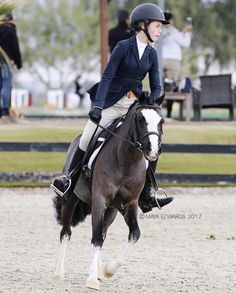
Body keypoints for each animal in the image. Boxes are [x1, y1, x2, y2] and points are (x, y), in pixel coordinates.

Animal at [52, 94, 165, 290]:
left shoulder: (129, 203)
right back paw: (59, 274)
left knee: (104, 233)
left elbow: (134, 234)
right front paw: (91, 280)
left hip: (112, 209)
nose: (152, 150)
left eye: (161, 121)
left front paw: (107, 270)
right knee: (66, 233)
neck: (126, 159)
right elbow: (96, 238)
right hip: (71, 200)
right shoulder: (100, 200)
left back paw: (98, 273)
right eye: (140, 119)